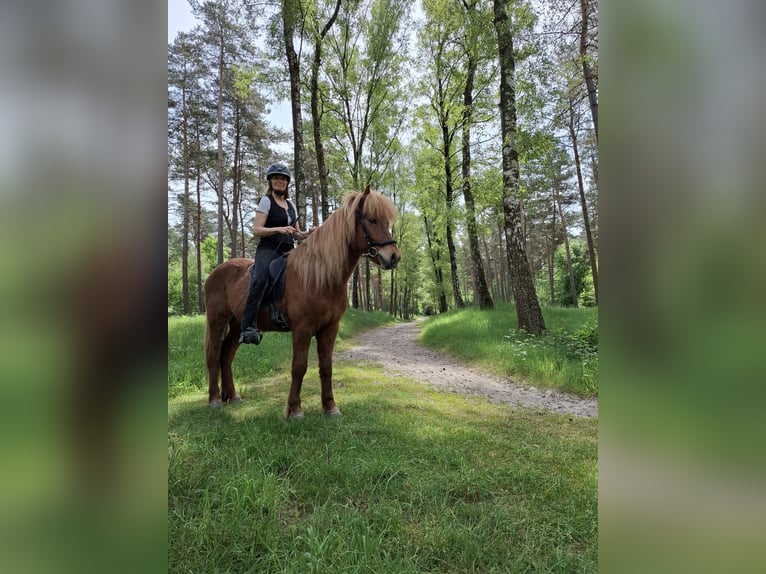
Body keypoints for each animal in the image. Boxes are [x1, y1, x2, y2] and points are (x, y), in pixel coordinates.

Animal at [203, 185, 401, 419]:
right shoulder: (302, 328)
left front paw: (330, 407)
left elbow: (326, 367)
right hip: (217, 320)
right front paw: (295, 409)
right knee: (213, 355)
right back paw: (214, 399)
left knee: (226, 356)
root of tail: (215, 272)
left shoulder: (329, 328)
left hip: (237, 326)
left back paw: (232, 396)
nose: (394, 257)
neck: (320, 276)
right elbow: (299, 367)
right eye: (371, 220)